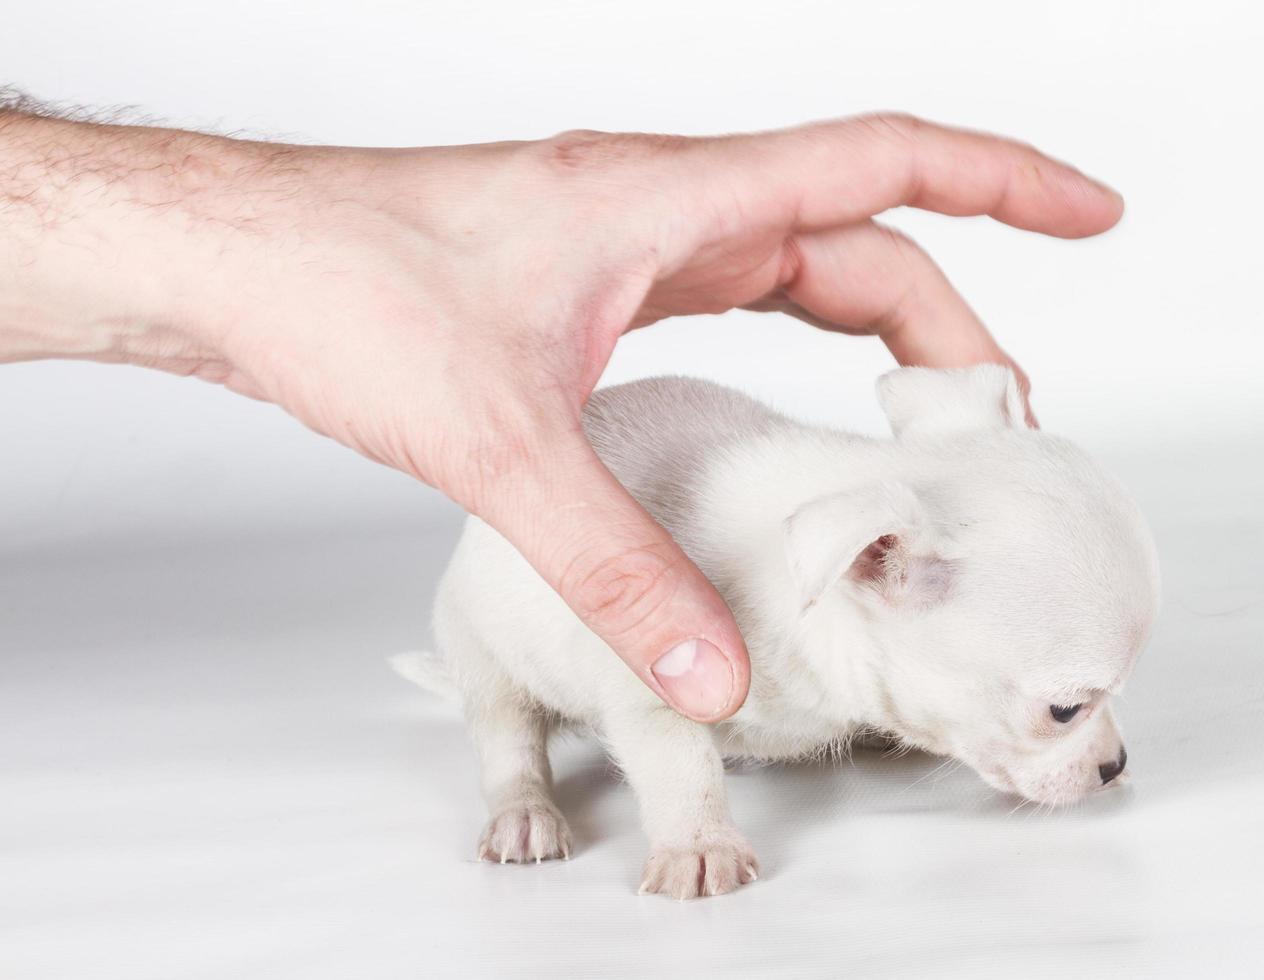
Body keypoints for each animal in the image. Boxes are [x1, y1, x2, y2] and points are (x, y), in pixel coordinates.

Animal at [401, 369, 1157, 905]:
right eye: (1064, 710)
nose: (1116, 764)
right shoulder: (659, 673)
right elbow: (681, 765)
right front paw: (698, 845)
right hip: (481, 649)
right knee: (509, 741)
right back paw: (523, 813)